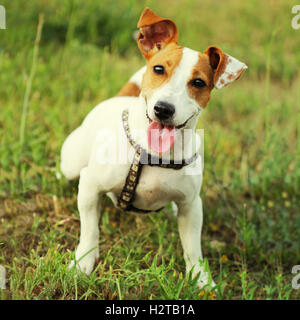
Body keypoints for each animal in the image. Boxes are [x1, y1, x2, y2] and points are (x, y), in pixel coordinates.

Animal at [60, 6, 246, 288]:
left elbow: (193, 248)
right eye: (158, 69)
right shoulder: (91, 186)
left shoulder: (192, 205)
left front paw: (202, 280)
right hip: (72, 163)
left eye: (199, 83)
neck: (152, 155)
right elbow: (90, 231)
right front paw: (83, 264)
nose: (164, 109)